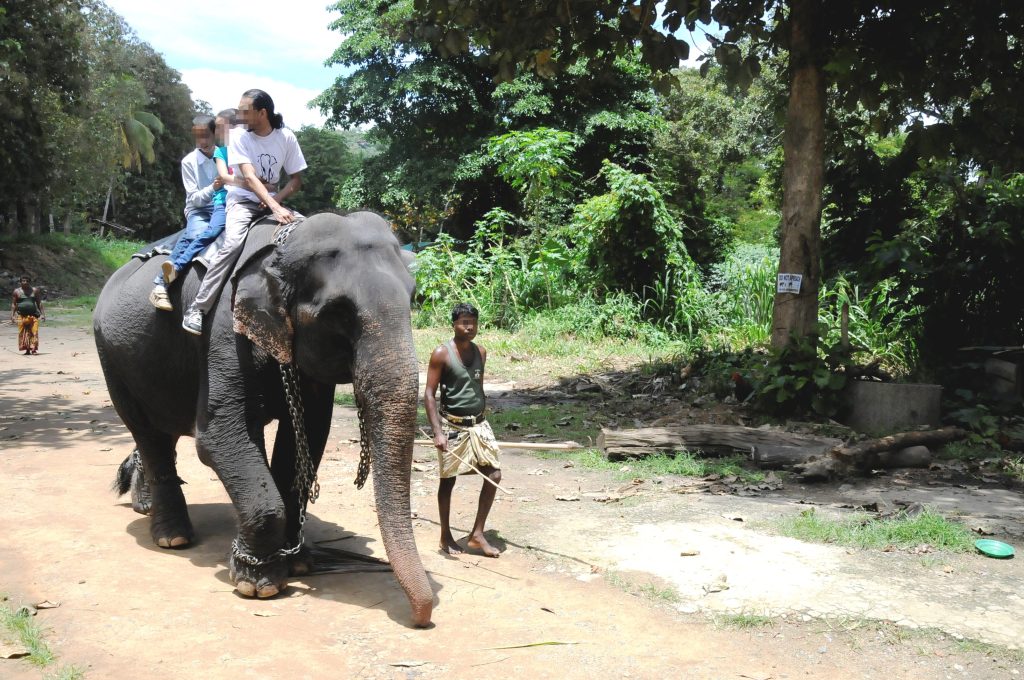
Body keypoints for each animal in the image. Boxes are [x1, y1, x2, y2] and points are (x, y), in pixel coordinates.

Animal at [92, 213, 432, 626]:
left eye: (413, 299)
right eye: (338, 313)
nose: (422, 617)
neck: (278, 252)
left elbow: (307, 437)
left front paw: (299, 563)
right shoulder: (225, 332)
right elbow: (219, 436)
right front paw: (258, 584)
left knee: (161, 432)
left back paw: (147, 507)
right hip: (111, 359)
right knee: (147, 432)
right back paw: (172, 537)